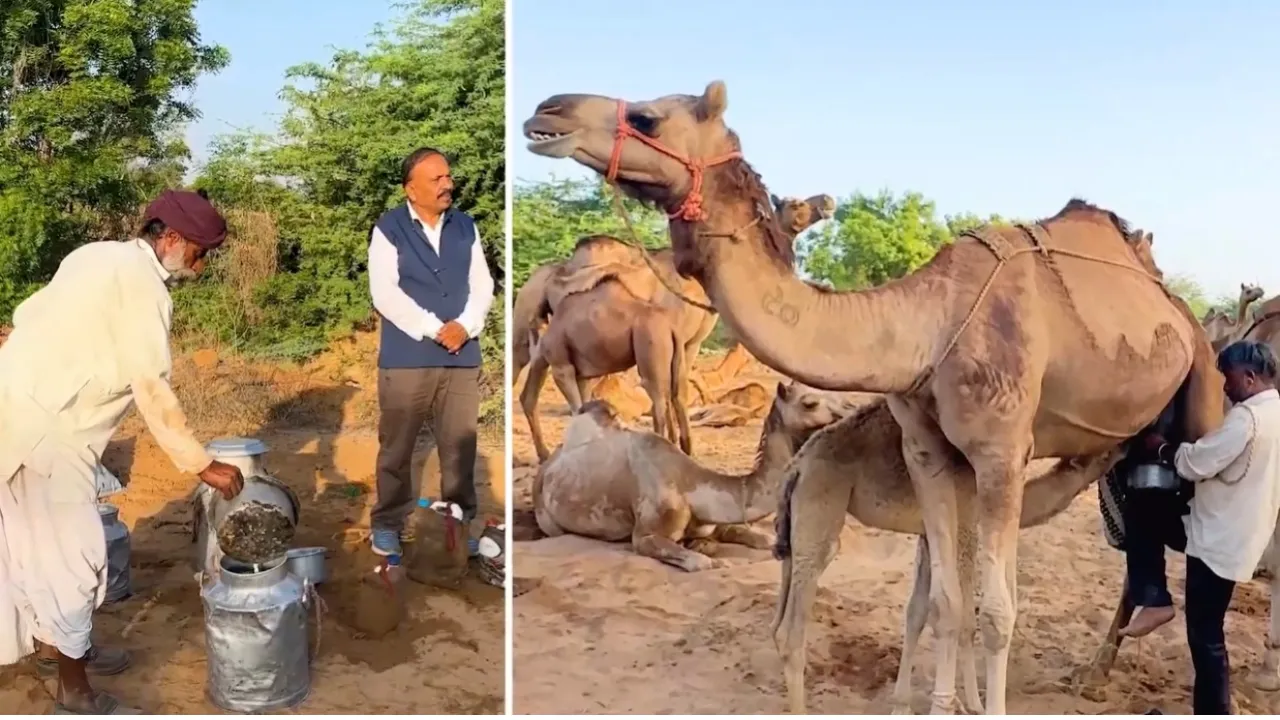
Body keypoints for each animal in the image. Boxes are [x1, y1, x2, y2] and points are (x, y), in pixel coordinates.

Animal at [531, 381, 845, 572]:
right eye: (810, 403)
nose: (849, 412)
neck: (691, 486)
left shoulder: (715, 520)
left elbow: (760, 537)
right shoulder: (645, 535)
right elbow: (704, 563)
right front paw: (708, 555)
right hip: (548, 519)